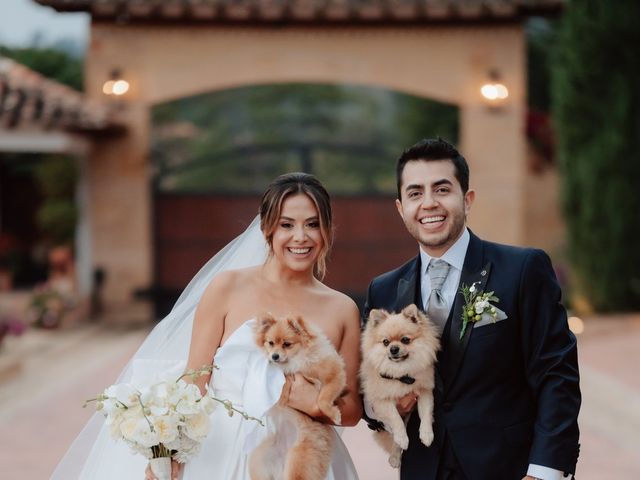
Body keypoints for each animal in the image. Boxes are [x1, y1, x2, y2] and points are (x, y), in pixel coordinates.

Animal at [249, 314, 348, 478]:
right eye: (270, 343)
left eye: (287, 344)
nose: (274, 356)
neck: (298, 359)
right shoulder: (286, 373)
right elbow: (283, 383)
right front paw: (282, 398)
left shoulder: (335, 376)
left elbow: (322, 399)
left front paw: (334, 414)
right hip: (261, 461)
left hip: (299, 461)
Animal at [360, 304, 440, 468]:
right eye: (385, 342)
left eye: (405, 340)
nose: (393, 348)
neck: (401, 375)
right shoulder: (381, 401)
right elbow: (395, 418)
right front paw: (402, 437)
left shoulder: (425, 392)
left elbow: (426, 413)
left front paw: (427, 435)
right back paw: (396, 455)